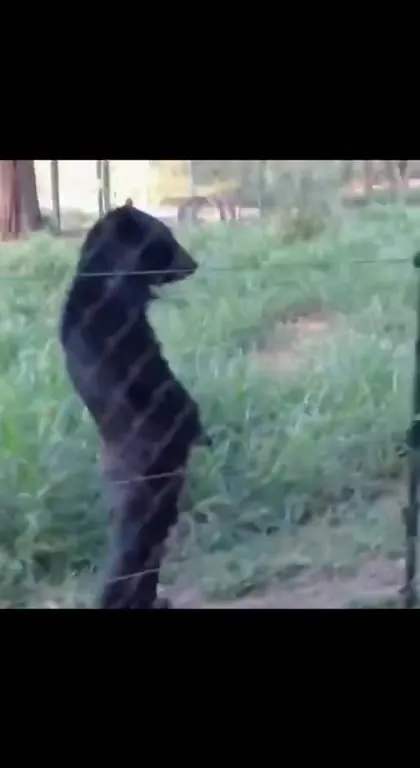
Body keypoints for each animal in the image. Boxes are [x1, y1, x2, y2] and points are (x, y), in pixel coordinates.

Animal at [59, 203, 210, 608]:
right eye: (165, 239)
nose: (193, 263)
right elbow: (162, 384)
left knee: (148, 555)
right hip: (147, 496)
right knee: (131, 555)